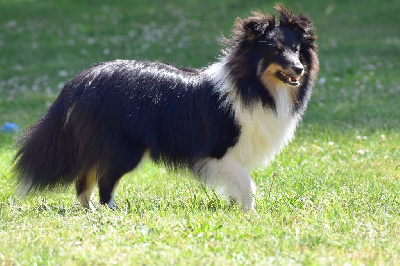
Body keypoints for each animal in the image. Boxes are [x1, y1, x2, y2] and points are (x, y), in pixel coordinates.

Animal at [13, 4, 318, 211]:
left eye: (296, 49)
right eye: (275, 50)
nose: (299, 69)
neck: (254, 86)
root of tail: (84, 79)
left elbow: (239, 184)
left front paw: (236, 207)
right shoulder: (215, 153)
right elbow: (247, 183)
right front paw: (248, 213)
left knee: (84, 180)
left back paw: (90, 212)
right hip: (126, 147)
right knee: (104, 181)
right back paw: (111, 212)